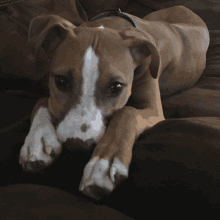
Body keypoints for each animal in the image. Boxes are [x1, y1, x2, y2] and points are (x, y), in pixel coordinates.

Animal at [18, 6, 210, 200]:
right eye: (61, 81)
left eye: (116, 87)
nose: (77, 145)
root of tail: (183, 7)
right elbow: (42, 100)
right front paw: (38, 139)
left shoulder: (153, 110)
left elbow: (127, 112)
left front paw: (104, 164)